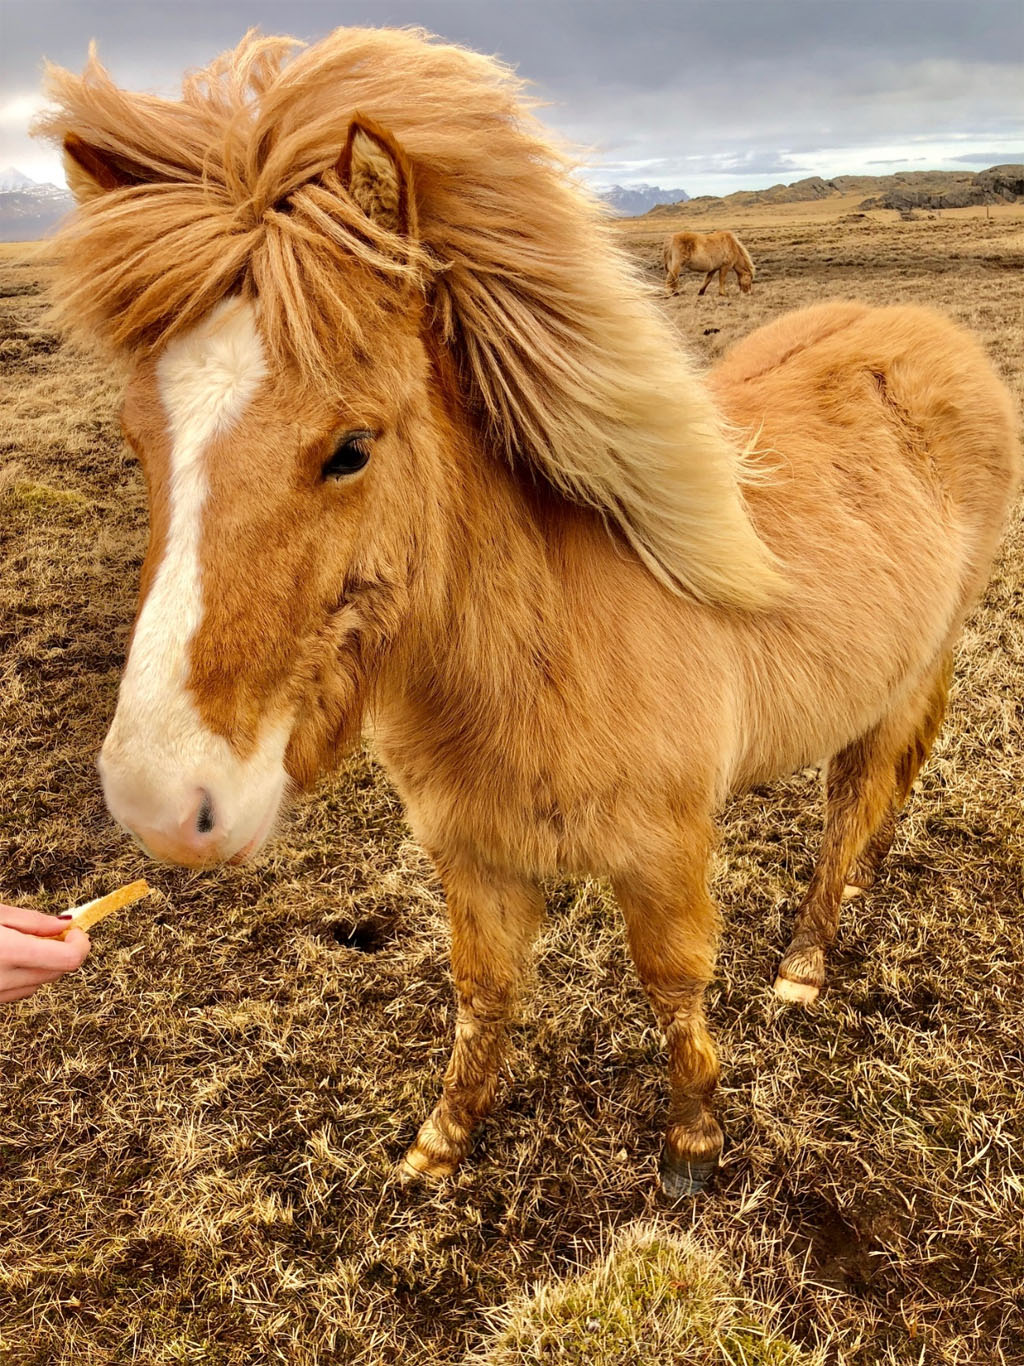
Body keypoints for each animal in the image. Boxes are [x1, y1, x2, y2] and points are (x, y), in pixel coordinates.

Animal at [36, 26, 1021, 1202]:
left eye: (349, 448)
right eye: (137, 441)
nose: (161, 800)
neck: (536, 647)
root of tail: (927, 334)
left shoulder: (663, 853)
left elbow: (672, 984)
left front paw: (693, 1139)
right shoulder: (473, 854)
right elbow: (483, 993)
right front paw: (443, 1139)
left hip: (912, 670)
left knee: (854, 800)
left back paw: (805, 959)